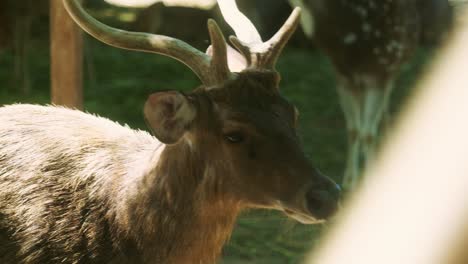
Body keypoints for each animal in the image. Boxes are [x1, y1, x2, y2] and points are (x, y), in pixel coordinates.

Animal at [288, 0, 456, 190]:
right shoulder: (344, 76)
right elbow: (354, 129)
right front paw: (350, 180)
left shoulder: (379, 71)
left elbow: (367, 132)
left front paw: (368, 179)